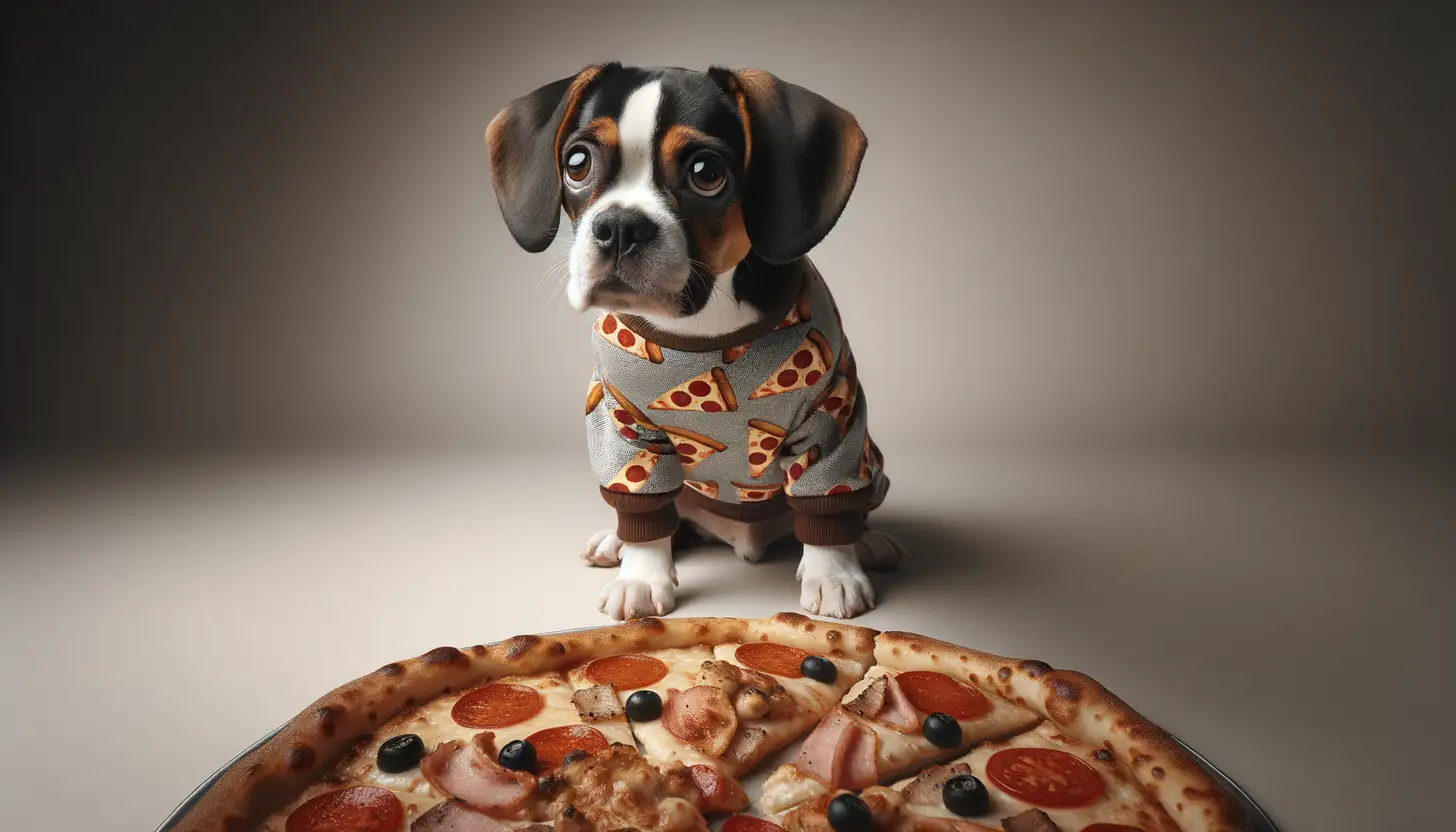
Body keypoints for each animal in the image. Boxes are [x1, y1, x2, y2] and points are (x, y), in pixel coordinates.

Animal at [483, 63, 902, 617]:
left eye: (706, 173)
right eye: (577, 164)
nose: (621, 225)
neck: (702, 328)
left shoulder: (831, 419)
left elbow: (825, 502)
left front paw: (833, 573)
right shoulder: (625, 429)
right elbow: (643, 510)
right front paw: (641, 577)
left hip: (869, 461)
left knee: (857, 502)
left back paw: (869, 542)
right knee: (666, 517)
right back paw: (616, 541)